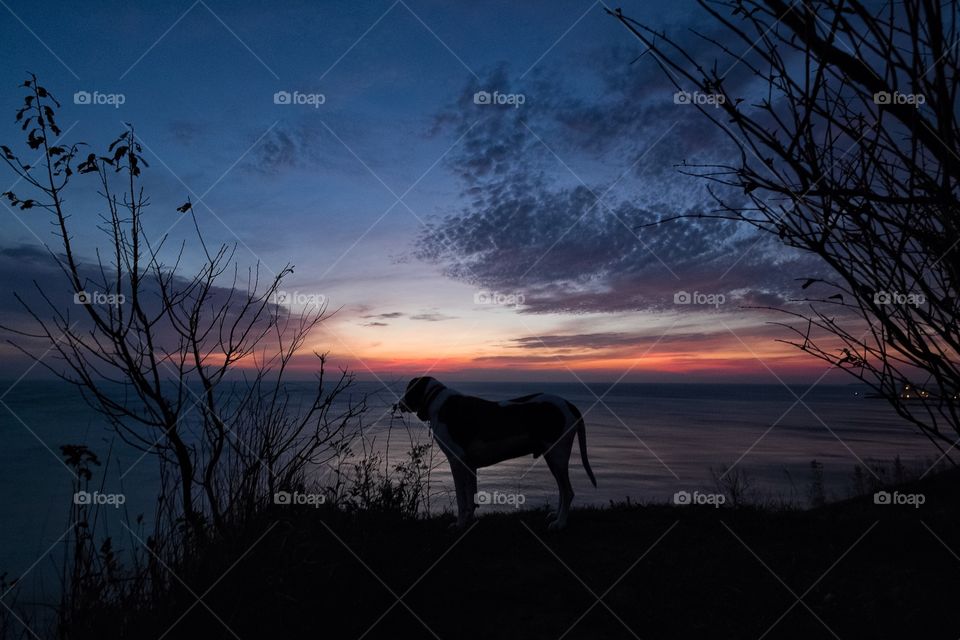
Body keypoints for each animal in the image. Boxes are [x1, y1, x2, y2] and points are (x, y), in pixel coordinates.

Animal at [396, 376, 592, 528]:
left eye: (408, 389)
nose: (398, 404)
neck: (436, 399)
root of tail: (568, 404)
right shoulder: (469, 465)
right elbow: (470, 498)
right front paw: (468, 521)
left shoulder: (456, 461)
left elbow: (461, 498)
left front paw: (459, 524)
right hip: (553, 457)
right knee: (562, 489)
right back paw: (556, 516)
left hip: (557, 455)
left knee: (567, 491)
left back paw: (561, 523)